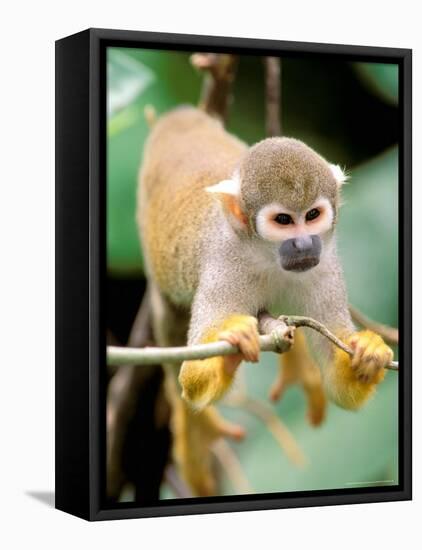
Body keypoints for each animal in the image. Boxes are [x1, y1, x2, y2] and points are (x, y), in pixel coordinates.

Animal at [138, 105, 392, 494]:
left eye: (312, 215)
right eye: (284, 220)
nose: (302, 244)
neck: (267, 256)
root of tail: (178, 121)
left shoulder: (326, 264)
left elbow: (341, 387)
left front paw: (370, 353)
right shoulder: (224, 266)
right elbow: (192, 374)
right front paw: (234, 344)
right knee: (170, 332)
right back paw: (197, 431)